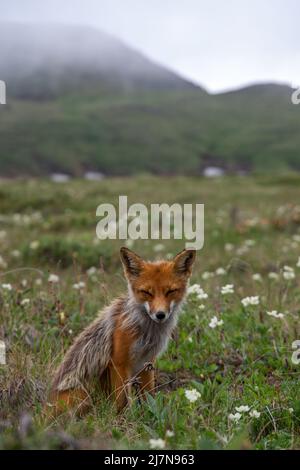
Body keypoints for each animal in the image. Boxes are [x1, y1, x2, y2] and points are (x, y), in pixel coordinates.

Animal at [49, 246, 195, 414]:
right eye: (147, 292)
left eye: (170, 291)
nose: (160, 315)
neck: (146, 332)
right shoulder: (119, 363)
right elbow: (122, 401)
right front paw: (122, 417)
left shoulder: (147, 363)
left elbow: (149, 396)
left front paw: (148, 414)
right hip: (84, 398)